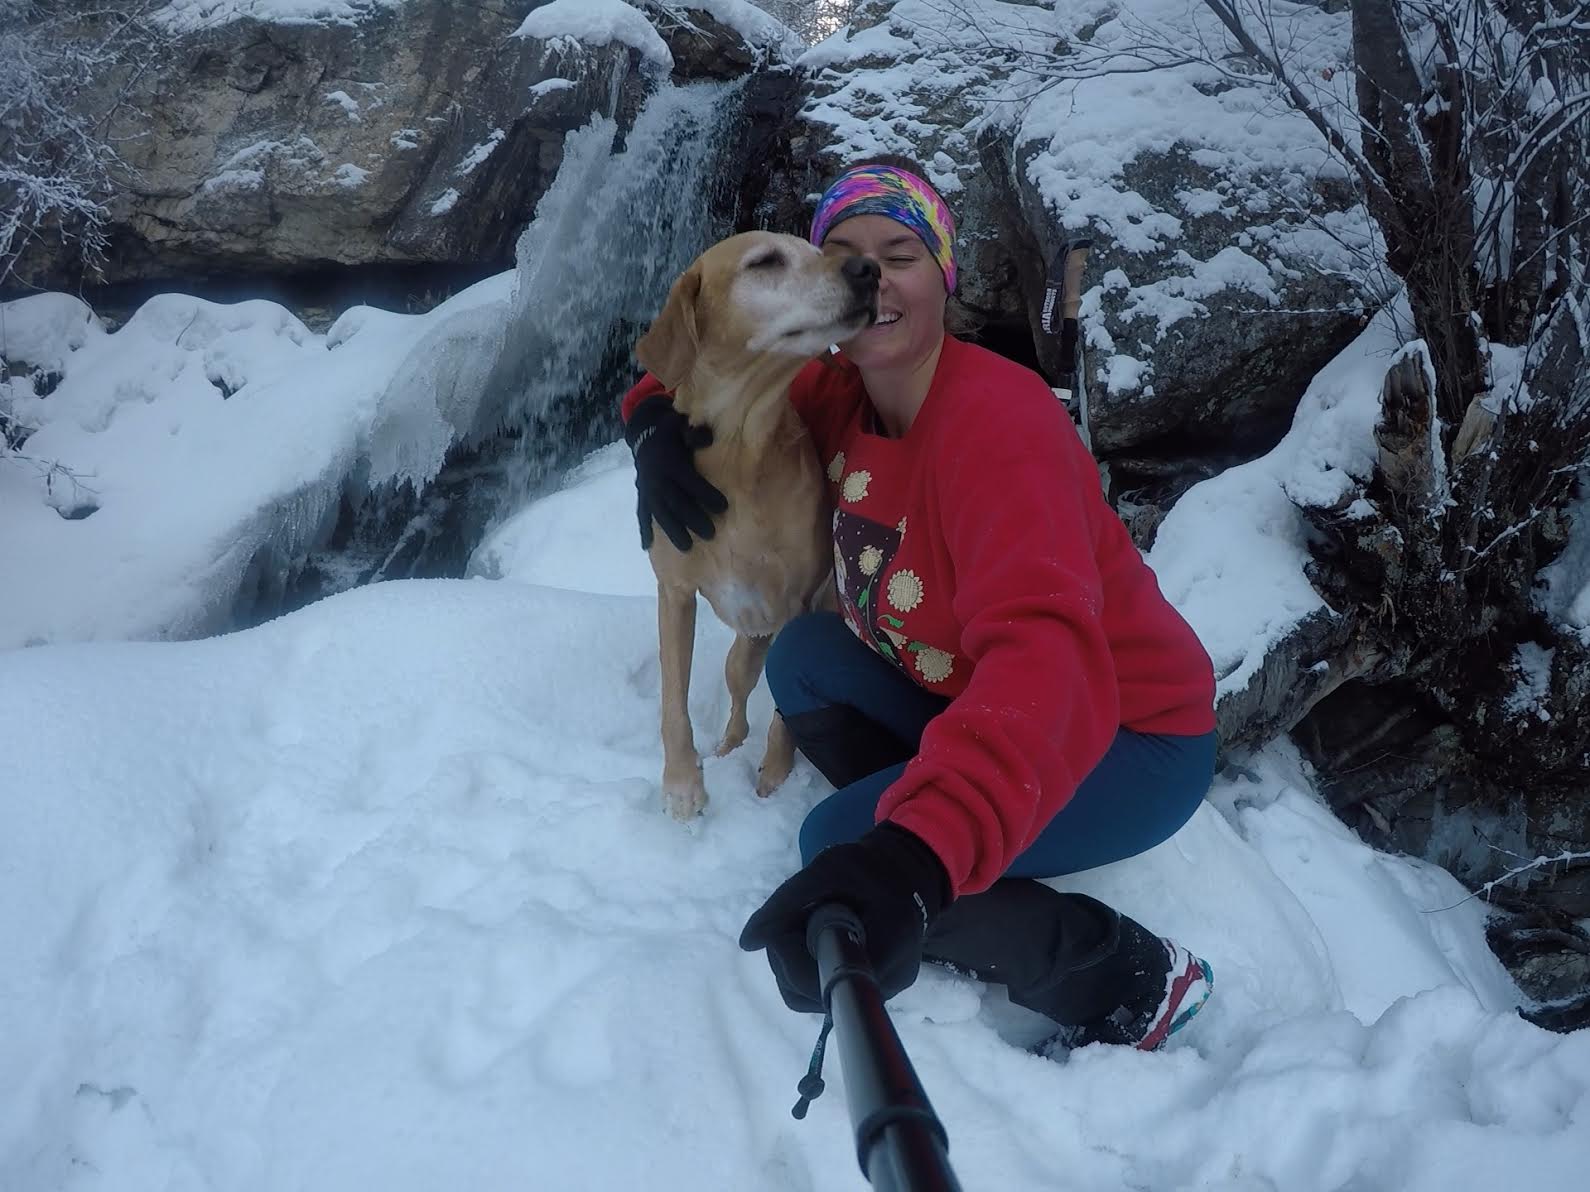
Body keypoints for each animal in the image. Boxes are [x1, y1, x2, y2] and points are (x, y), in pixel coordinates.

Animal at [632, 233, 884, 826]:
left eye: (818, 250)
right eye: (765, 261)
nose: (868, 270)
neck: (738, 453)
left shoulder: (800, 604)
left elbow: (783, 721)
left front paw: (773, 780)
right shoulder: (674, 594)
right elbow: (673, 703)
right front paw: (683, 786)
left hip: (761, 642)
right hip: (738, 656)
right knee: (737, 701)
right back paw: (725, 747)